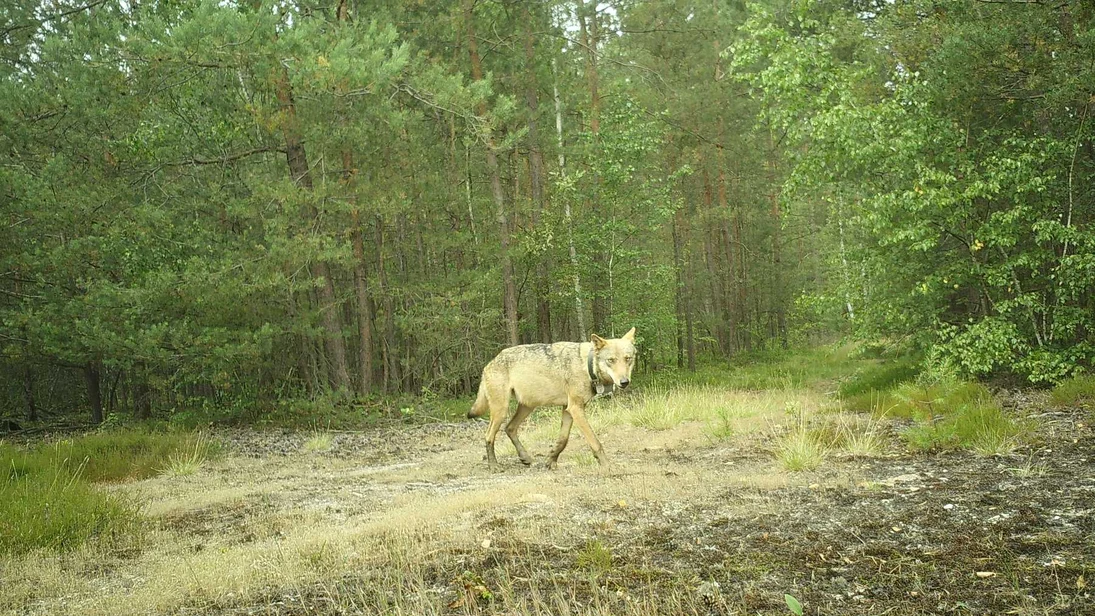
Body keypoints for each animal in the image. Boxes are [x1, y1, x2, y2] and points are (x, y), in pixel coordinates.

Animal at [468, 328, 637, 469]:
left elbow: (563, 439)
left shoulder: (568, 409)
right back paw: (493, 465)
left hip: (527, 407)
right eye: (611, 360)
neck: (587, 366)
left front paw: (551, 460)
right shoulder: (575, 408)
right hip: (501, 411)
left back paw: (525, 457)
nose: (624, 382)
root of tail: (489, 364)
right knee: (489, 435)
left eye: (628, 359)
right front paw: (607, 466)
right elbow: (594, 441)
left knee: (509, 428)